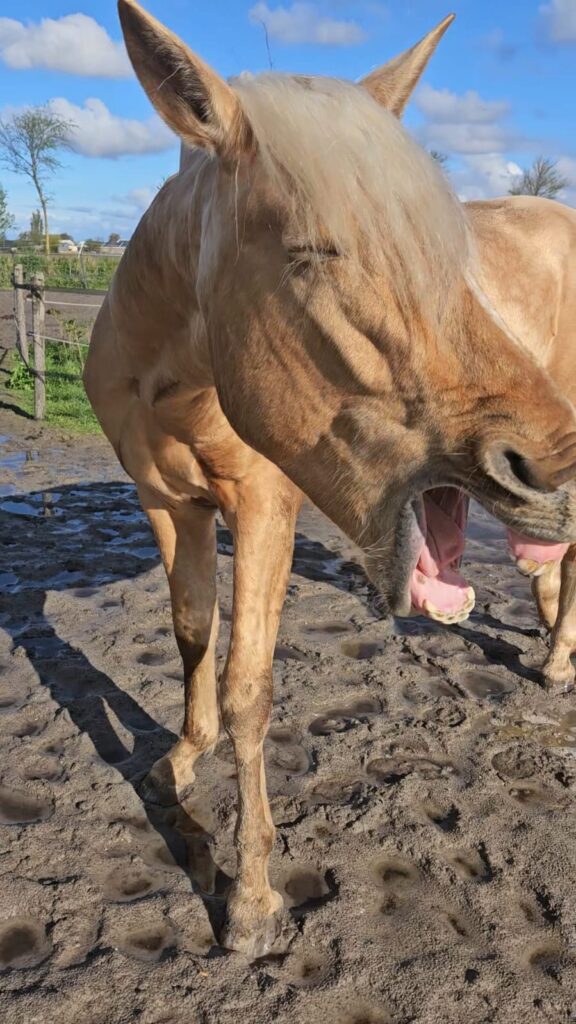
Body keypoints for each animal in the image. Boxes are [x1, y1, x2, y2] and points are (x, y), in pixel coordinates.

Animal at [84, 0, 576, 956]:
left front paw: (250, 899)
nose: (557, 464)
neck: (175, 370)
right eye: (313, 252)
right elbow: (190, 634)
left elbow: (249, 687)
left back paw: (560, 661)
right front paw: (182, 758)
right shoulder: (166, 505)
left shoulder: (263, 507)